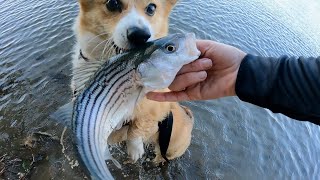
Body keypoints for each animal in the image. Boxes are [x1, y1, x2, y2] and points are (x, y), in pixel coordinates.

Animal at [71, 0, 194, 163]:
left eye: (151, 8)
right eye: (112, 3)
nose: (140, 36)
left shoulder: (153, 109)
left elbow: (137, 127)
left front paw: (135, 149)